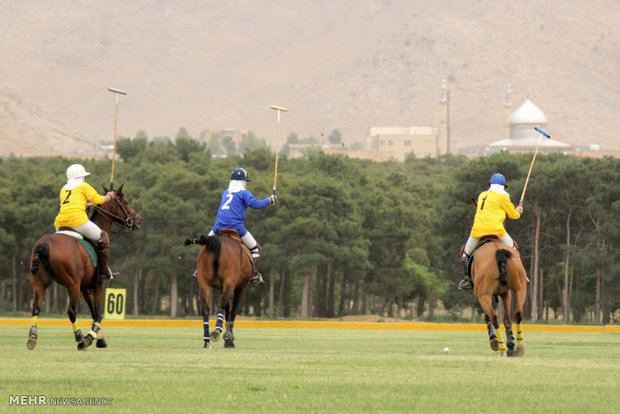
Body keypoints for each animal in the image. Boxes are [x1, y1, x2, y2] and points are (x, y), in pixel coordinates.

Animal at [27, 186, 142, 350]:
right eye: (125, 202)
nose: (138, 219)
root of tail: (44, 245)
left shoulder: (86, 287)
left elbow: (93, 312)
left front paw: (100, 339)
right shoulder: (99, 284)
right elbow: (98, 313)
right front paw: (91, 338)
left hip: (39, 282)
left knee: (36, 307)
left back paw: (32, 337)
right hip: (72, 283)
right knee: (71, 311)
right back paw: (80, 339)